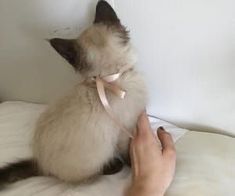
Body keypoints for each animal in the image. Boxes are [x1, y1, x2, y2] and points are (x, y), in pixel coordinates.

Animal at [0, 0, 147, 187]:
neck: (109, 79)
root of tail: (41, 163)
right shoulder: (124, 129)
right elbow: (128, 152)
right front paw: (132, 165)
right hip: (97, 154)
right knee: (90, 173)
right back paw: (114, 166)